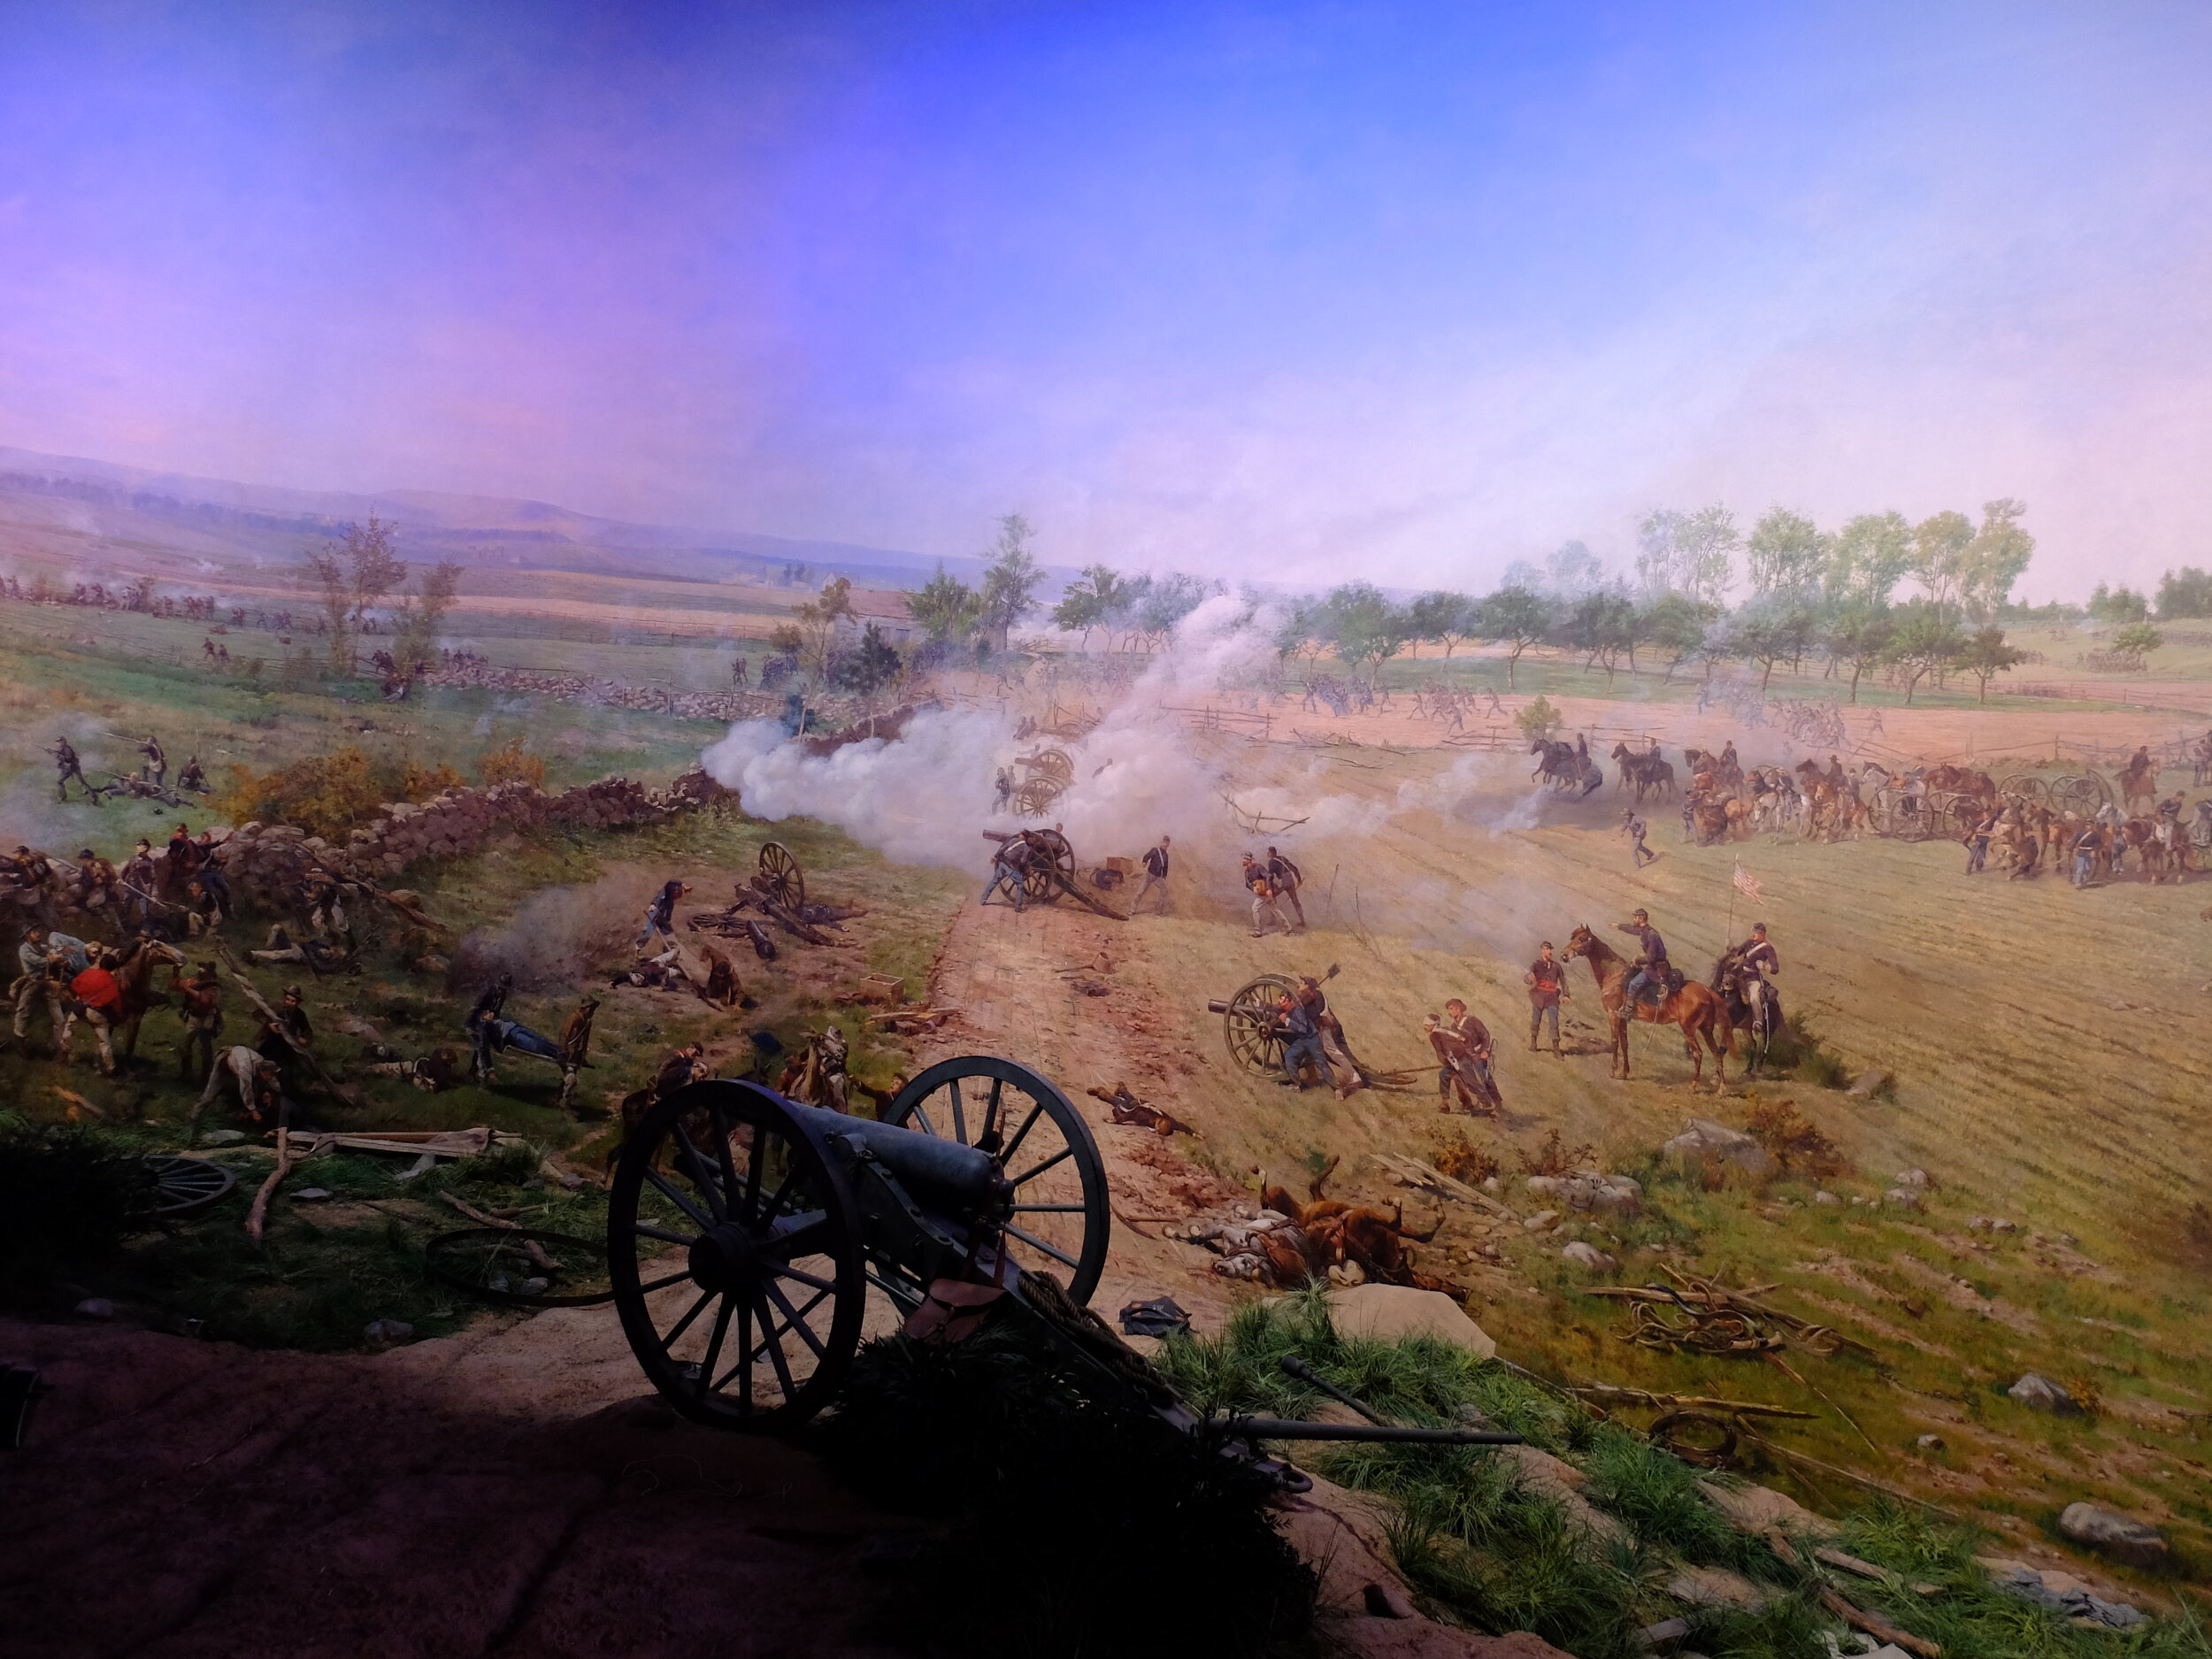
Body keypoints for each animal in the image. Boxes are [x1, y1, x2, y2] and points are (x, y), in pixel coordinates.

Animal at [1566, 925, 1734, 1093]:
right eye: (1572, 937)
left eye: (1582, 939)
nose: (1564, 955)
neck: (1614, 975)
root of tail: (1707, 991)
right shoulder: (1622, 1019)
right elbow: (1625, 1044)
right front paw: (1624, 1073)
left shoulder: (1613, 1015)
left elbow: (1614, 1042)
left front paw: (1613, 1071)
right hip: (1706, 1030)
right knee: (1717, 1053)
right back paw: (1722, 1088)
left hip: (1689, 1029)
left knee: (1698, 1054)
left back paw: (1693, 1086)